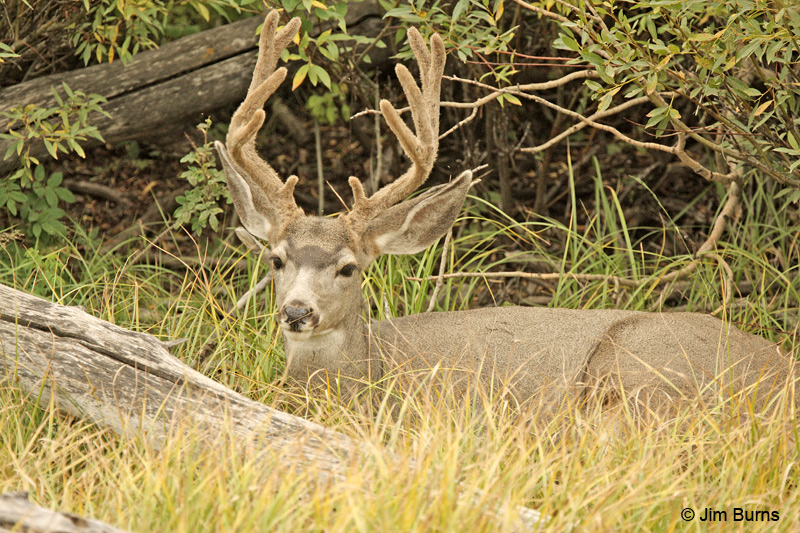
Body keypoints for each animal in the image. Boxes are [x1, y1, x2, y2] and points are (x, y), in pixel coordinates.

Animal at [214, 11, 797, 419]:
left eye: (348, 268)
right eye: (275, 260)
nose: (297, 311)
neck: (370, 374)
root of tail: (782, 376)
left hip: (641, 372)